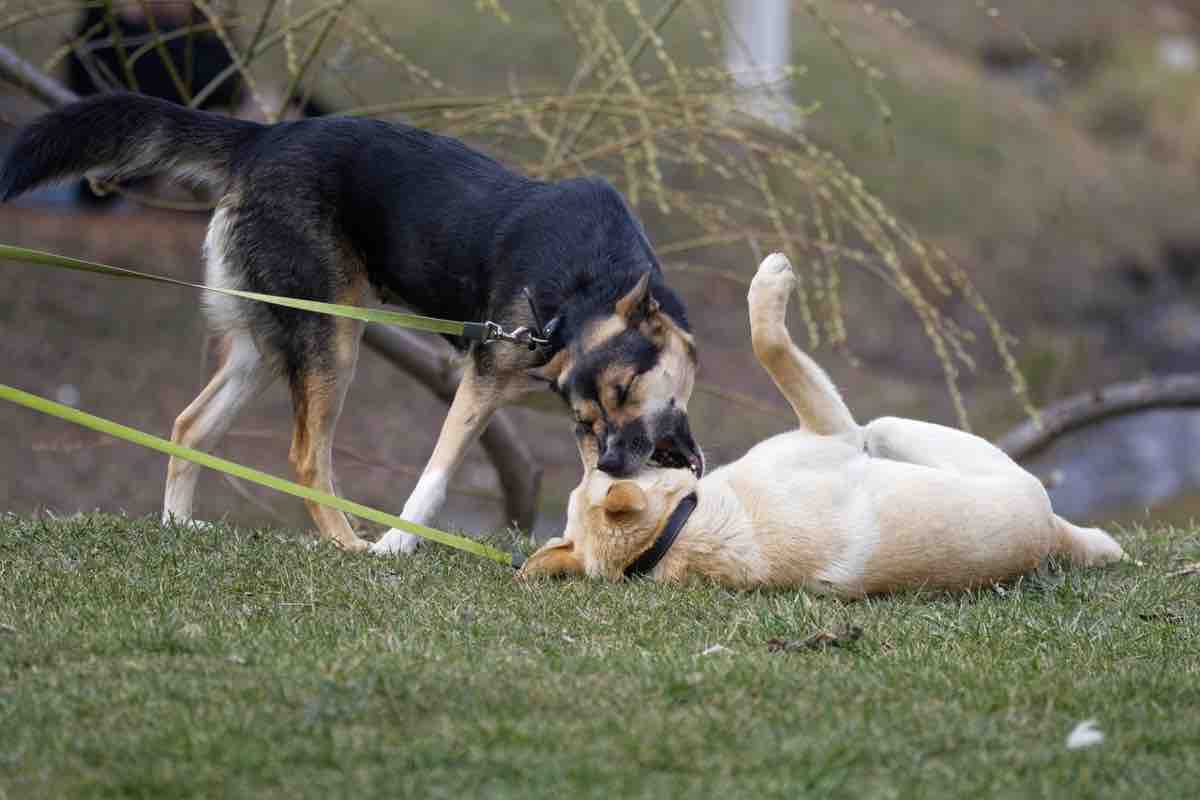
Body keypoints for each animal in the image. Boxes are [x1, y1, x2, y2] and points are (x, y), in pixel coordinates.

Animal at [2, 92, 700, 551]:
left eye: (622, 395)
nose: (621, 464)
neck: (587, 282)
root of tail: (264, 137)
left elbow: (586, 488)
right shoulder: (481, 386)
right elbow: (434, 477)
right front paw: (398, 544)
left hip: (268, 339)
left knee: (189, 425)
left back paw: (178, 525)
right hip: (334, 340)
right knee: (306, 457)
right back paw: (348, 544)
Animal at [518, 253, 1123, 597]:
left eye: (584, 475)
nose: (599, 452)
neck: (679, 529)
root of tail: (1045, 539)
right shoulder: (835, 430)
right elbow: (768, 343)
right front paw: (770, 282)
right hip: (892, 427)